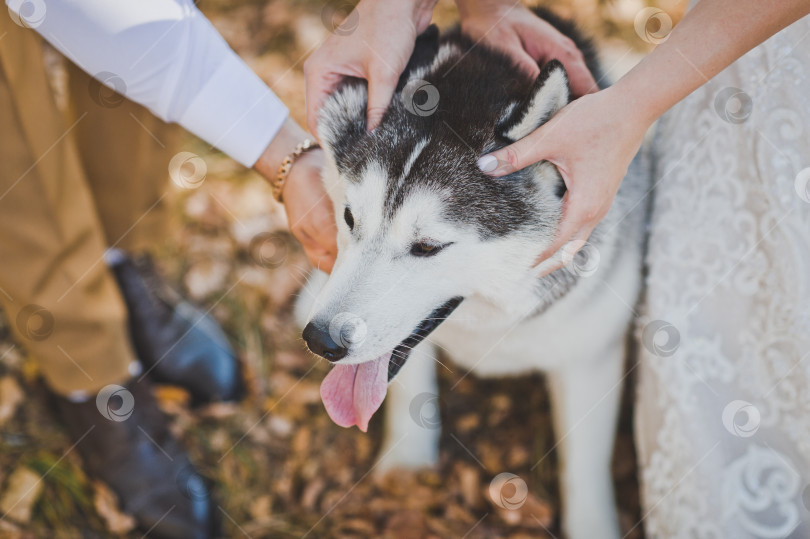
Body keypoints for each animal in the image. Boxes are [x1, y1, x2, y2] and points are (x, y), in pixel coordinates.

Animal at [296, 8, 644, 539]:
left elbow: (585, 467)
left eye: (427, 247)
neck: (491, 320)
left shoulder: (590, 355)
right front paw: (407, 469)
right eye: (351, 218)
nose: (321, 340)